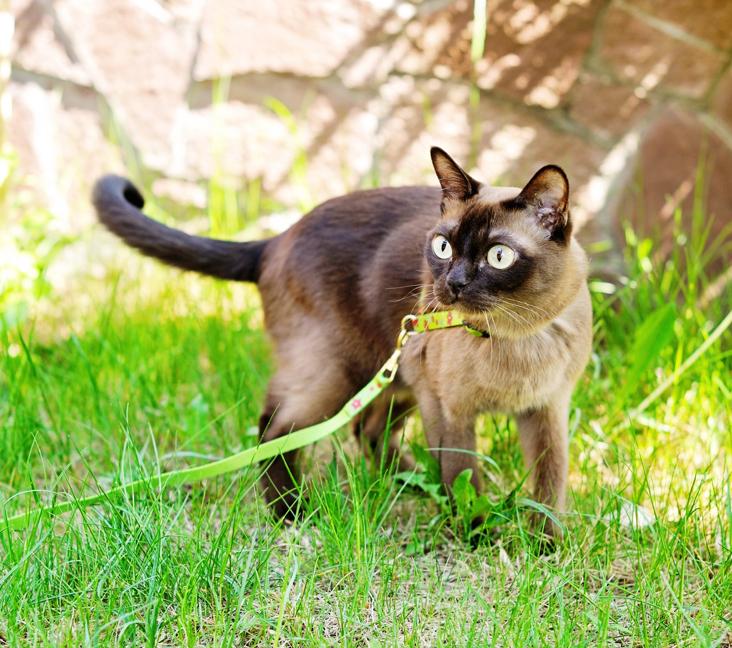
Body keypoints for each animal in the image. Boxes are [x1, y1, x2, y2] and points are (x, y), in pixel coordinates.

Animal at [93, 148, 596, 536]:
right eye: (443, 248)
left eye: (498, 256)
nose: (451, 284)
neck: (515, 336)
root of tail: (276, 239)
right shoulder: (451, 410)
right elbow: (463, 477)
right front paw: (477, 534)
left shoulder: (547, 409)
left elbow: (550, 483)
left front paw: (547, 547)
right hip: (342, 373)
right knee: (275, 426)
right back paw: (291, 512)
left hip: (395, 373)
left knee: (366, 431)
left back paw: (413, 483)